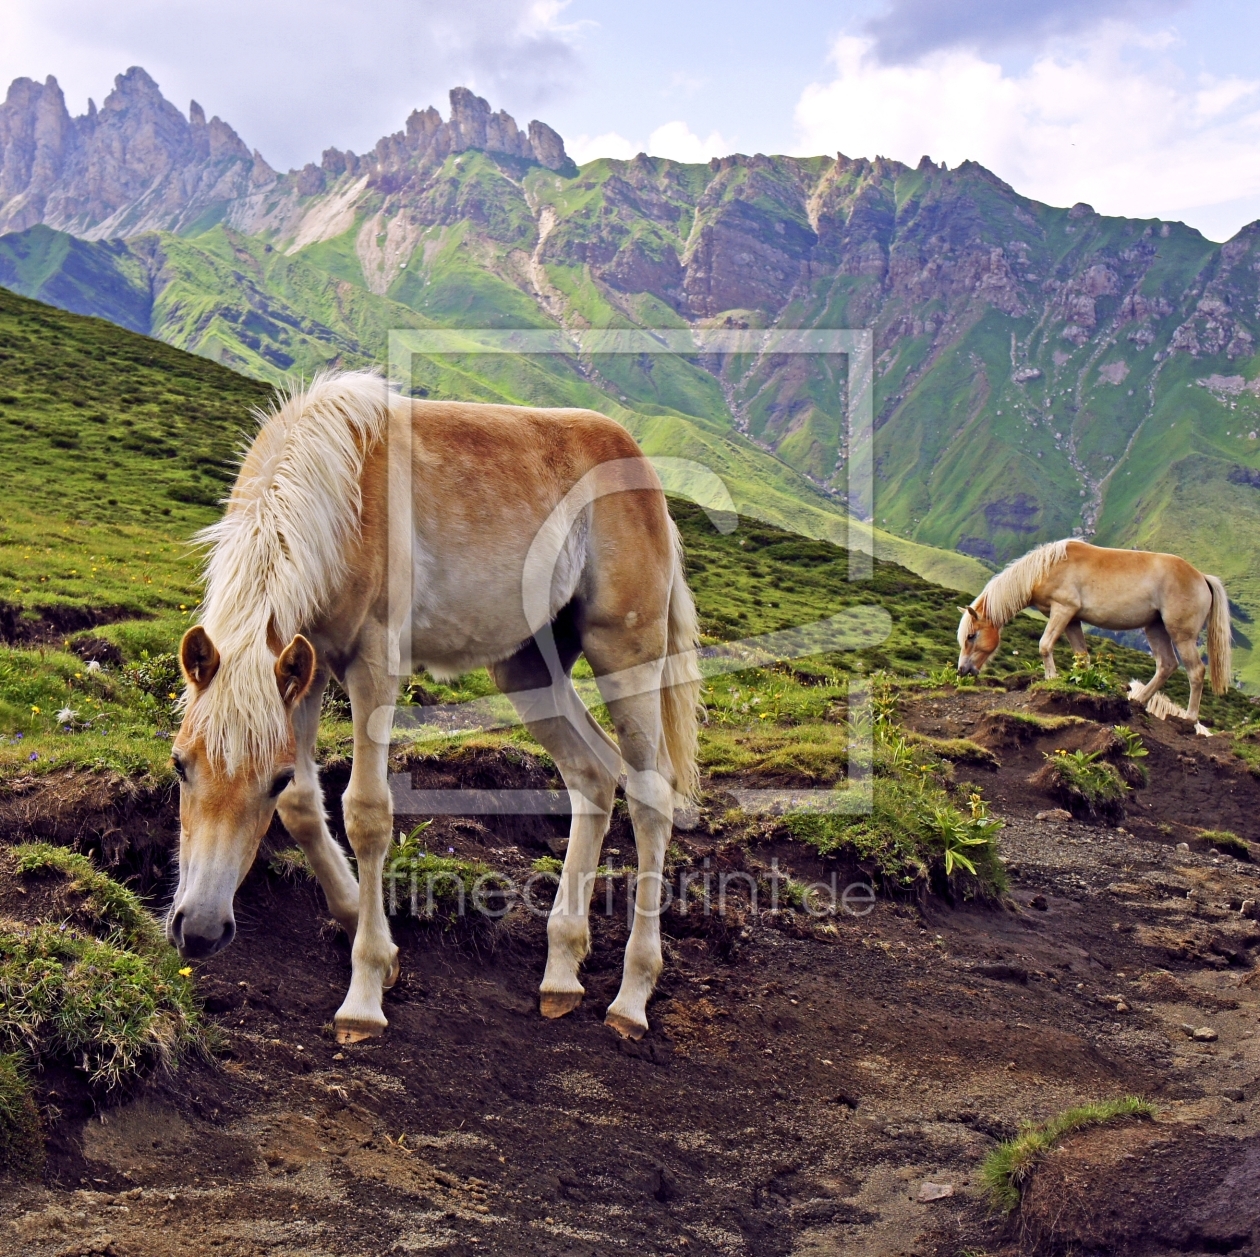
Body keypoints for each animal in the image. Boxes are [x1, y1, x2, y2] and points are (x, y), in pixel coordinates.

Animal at [162, 370, 705, 1042]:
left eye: (270, 777)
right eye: (180, 765)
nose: (199, 931)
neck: (337, 486)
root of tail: (641, 466)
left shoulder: (371, 666)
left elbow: (365, 814)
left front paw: (365, 993)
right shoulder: (306, 668)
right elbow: (305, 808)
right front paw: (372, 935)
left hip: (625, 655)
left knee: (650, 798)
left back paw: (631, 997)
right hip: (530, 667)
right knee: (594, 776)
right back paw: (560, 971)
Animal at [952, 539, 1229, 725]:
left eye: (971, 636)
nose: (962, 671)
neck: (1047, 567)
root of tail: (1202, 577)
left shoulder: (1063, 610)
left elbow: (1045, 644)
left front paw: (1051, 679)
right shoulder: (1073, 620)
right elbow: (1082, 657)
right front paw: (1086, 687)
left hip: (1181, 635)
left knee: (1196, 671)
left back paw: (1189, 719)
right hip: (1155, 628)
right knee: (1166, 665)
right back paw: (1139, 701)